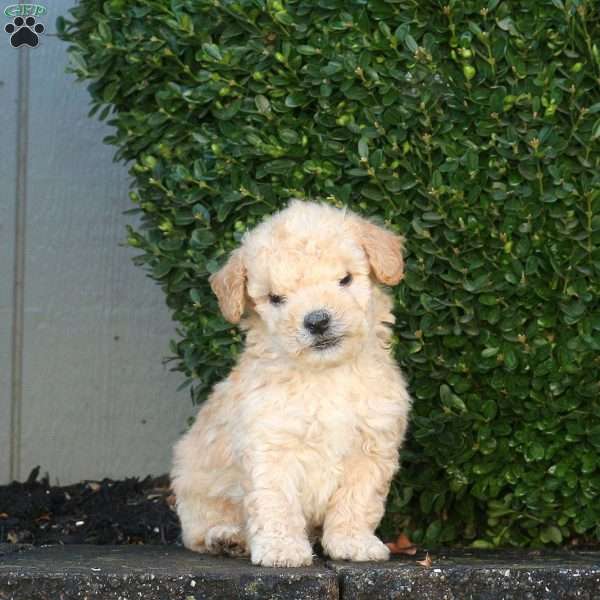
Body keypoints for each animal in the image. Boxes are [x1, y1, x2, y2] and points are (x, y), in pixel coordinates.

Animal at [171, 200, 410, 568]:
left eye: (345, 279)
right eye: (275, 298)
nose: (317, 320)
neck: (326, 375)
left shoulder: (370, 447)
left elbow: (357, 500)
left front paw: (353, 542)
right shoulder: (270, 445)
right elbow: (276, 502)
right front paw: (282, 548)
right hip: (195, 485)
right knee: (197, 531)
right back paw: (227, 537)